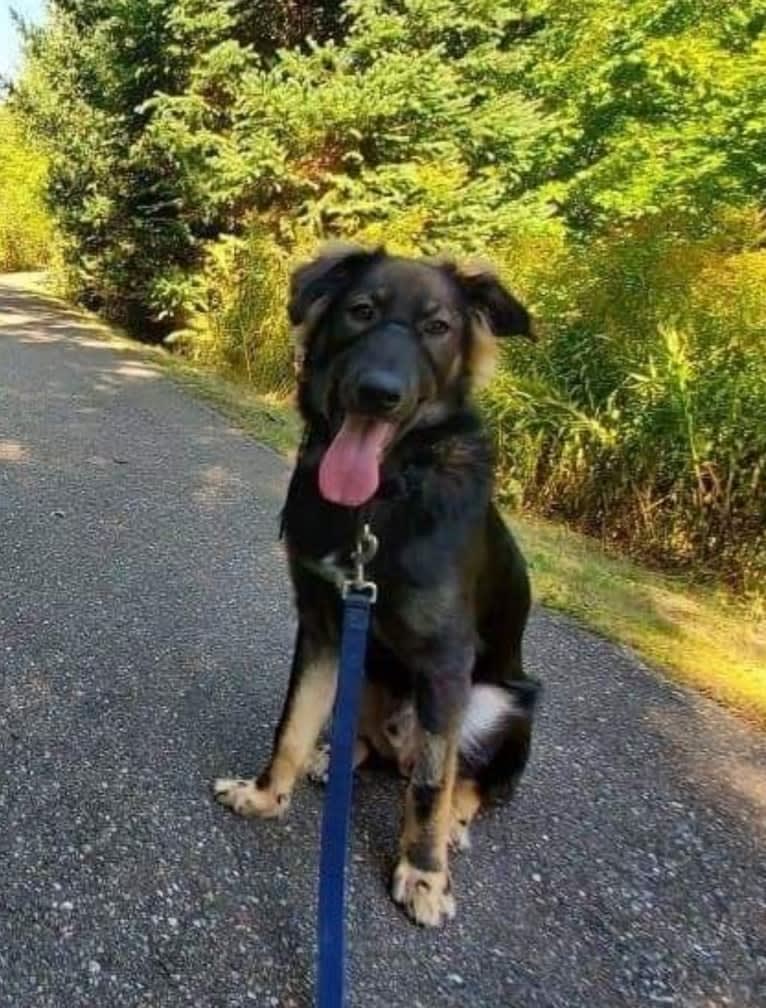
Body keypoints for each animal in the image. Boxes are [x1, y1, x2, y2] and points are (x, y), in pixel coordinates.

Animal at [215, 245, 540, 927]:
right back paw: (334, 757)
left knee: (463, 780)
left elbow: (430, 788)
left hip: (503, 701)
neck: (377, 503)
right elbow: (292, 724)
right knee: (367, 745)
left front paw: (423, 874)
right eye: (361, 311)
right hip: (365, 667)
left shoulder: (447, 663)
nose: (379, 393)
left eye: (438, 327)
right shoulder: (323, 624)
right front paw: (266, 795)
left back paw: (453, 824)